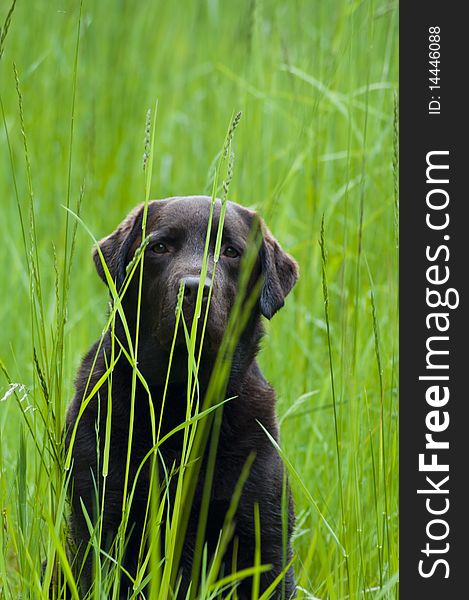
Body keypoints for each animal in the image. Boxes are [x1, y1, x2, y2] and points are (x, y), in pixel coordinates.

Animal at [66, 196, 296, 596]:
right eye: (159, 247)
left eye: (231, 252)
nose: (195, 289)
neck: (179, 400)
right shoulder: (99, 517)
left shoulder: (264, 535)